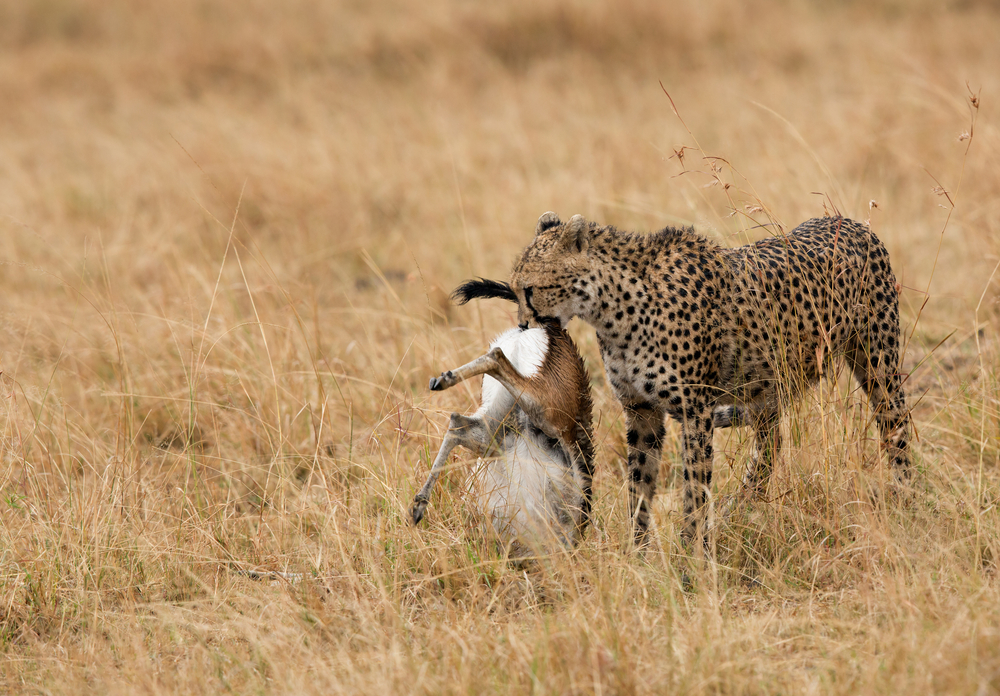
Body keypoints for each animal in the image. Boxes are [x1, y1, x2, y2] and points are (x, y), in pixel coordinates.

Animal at [512, 209, 912, 548]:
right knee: (771, 443)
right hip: (766, 383)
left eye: (530, 289)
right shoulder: (641, 411)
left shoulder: (696, 410)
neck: (614, 308)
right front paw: (637, 554)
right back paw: (744, 505)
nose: (522, 326)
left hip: (877, 363)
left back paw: (906, 503)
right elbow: (639, 487)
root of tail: (850, 222)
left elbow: (694, 489)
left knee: (897, 428)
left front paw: (692, 558)